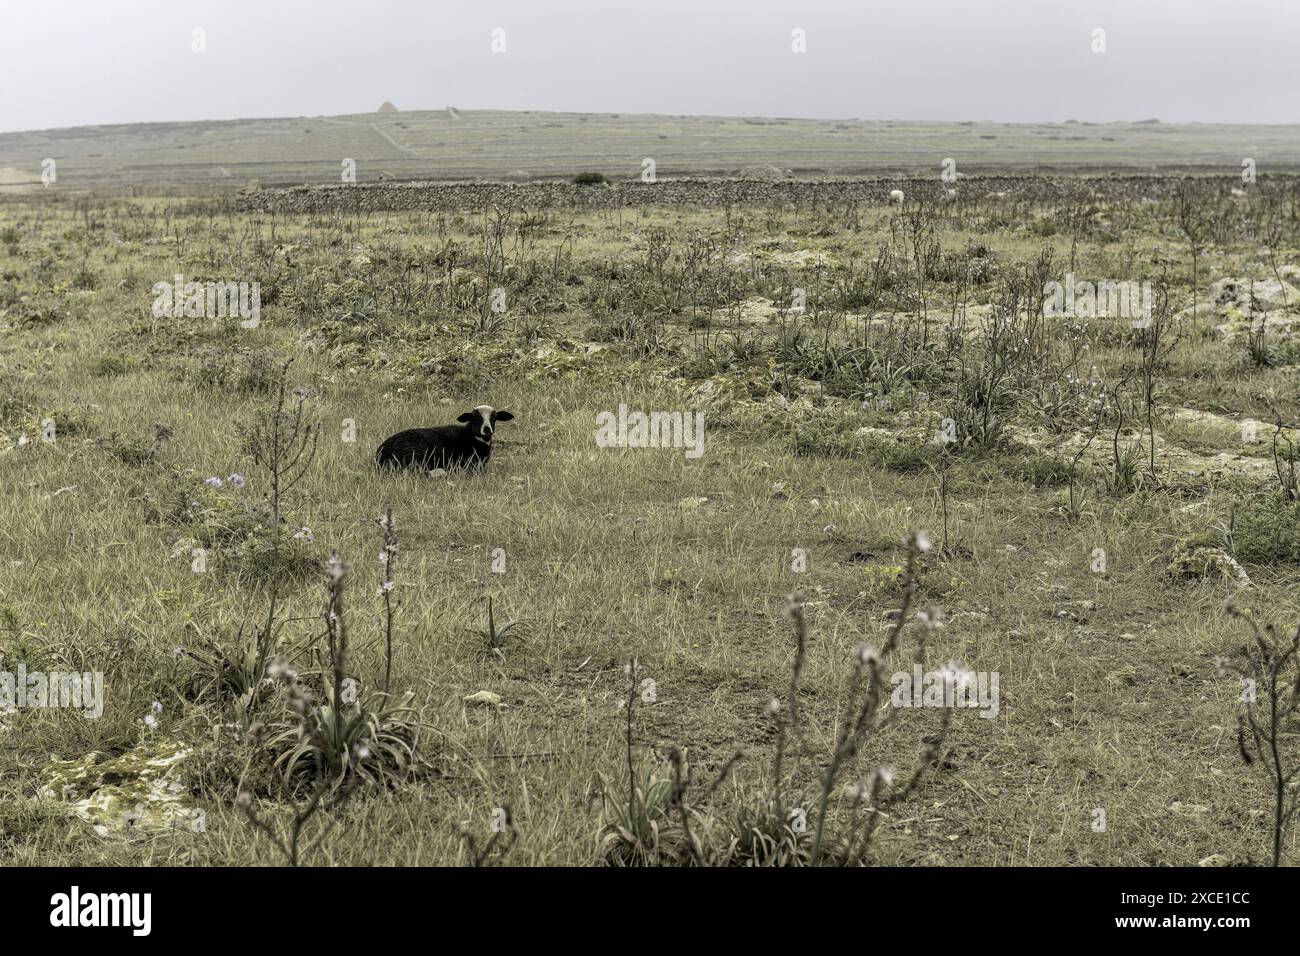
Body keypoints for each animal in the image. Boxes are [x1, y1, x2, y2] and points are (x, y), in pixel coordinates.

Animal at [374, 403, 514, 476]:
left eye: (494, 417)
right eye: (475, 417)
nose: (487, 430)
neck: (469, 437)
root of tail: (382, 452)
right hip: (414, 453)